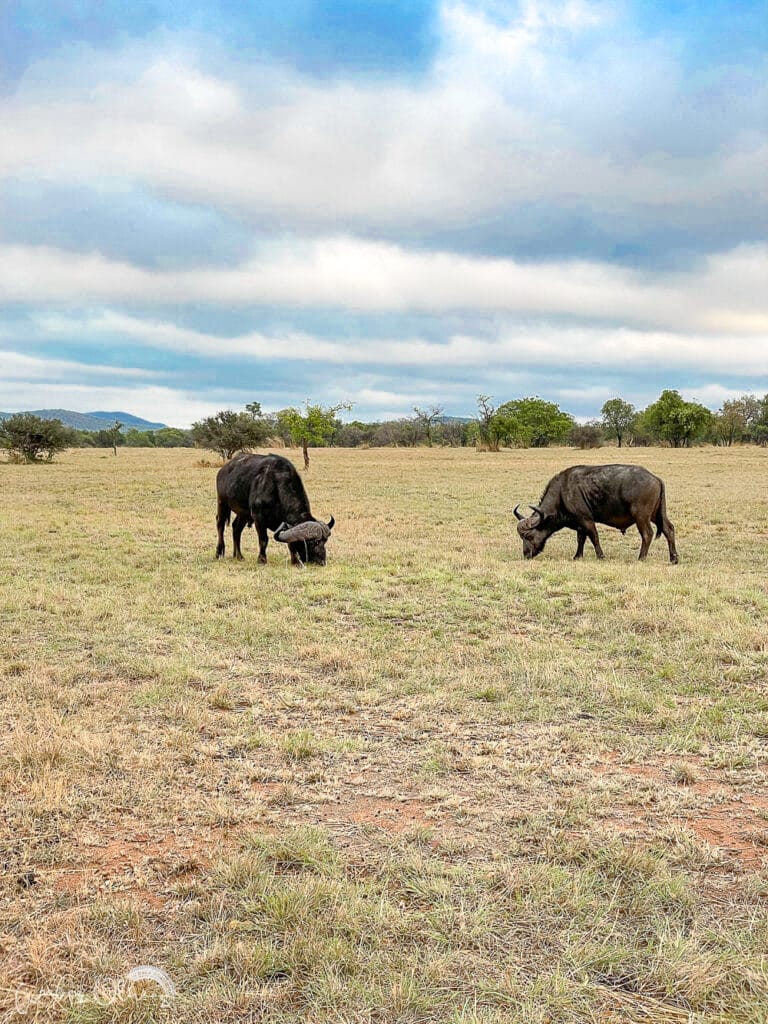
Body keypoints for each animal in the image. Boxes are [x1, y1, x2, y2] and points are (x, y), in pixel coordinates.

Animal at [518, 462, 679, 561]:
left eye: (529, 536)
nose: (526, 554)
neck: (562, 493)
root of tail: (656, 478)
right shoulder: (579, 523)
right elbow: (581, 539)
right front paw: (577, 556)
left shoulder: (586, 519)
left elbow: (594, 537)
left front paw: (601, 556)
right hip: (657, 515)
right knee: (668, 529)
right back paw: (674, 558)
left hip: (641, 516)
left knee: (647, 534)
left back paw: (641, 558)